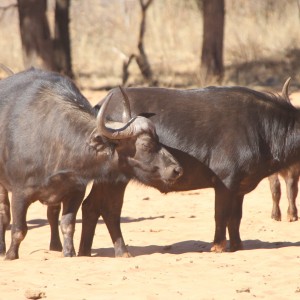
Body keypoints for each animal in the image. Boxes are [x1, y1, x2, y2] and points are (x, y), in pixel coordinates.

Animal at [0, 69, 183, 258]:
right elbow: (19, 229)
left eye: (158, 139)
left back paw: (56, 246)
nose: (176, 169)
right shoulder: (20, 193)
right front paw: (11, 255)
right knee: (4, 214)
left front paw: (69, 253)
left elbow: (68, 225)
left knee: (52, 213)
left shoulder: (75, 192)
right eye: (145, 144)